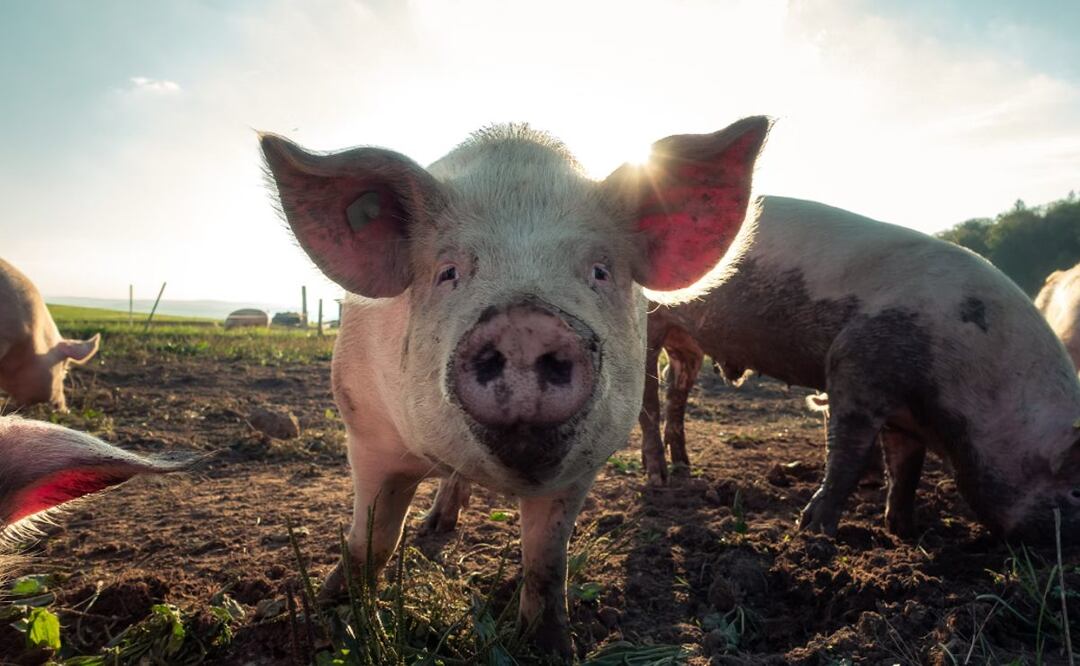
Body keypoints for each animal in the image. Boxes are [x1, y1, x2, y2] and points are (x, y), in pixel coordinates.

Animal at [260, 116, 771, 656]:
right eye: (448, 272)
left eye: (599, 271)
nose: (526, 323)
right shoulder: (366, 429)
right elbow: (372, 539)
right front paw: (332, 616)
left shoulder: (584, 465)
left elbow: (546, 561)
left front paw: (551, 647)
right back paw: (435, 527)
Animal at [635, 196, 1080, 543]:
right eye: (1075, 492)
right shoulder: (854, 366)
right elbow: (847, 456)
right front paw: (813, 532)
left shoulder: (903, 414)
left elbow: (906, 468)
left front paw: (906, 531)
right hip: (648, 327)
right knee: (648, 402)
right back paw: (658, 479)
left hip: (687, 344)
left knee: (676, 394)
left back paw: (684, 467)